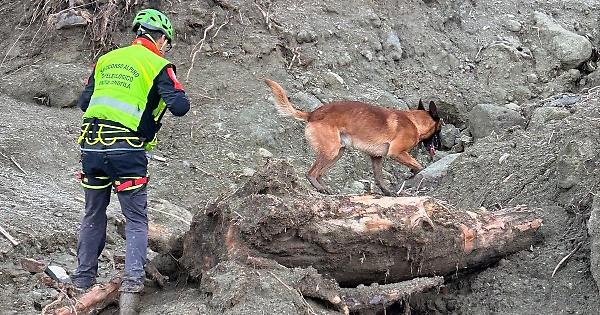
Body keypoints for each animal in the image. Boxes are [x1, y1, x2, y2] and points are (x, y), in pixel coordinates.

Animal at [264, 79, 442, 195]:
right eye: (440, 129)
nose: (440, 145)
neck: (415, 121)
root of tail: (312, 114)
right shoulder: (396, 153)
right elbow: (419, 166)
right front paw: (414, 175)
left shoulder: (376, 157)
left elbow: (379, 177)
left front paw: (387, 192)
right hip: (331, 151)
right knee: (311, 173)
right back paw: (320, 188)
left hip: (337, 152)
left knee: (320, 173)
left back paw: (325, 188)